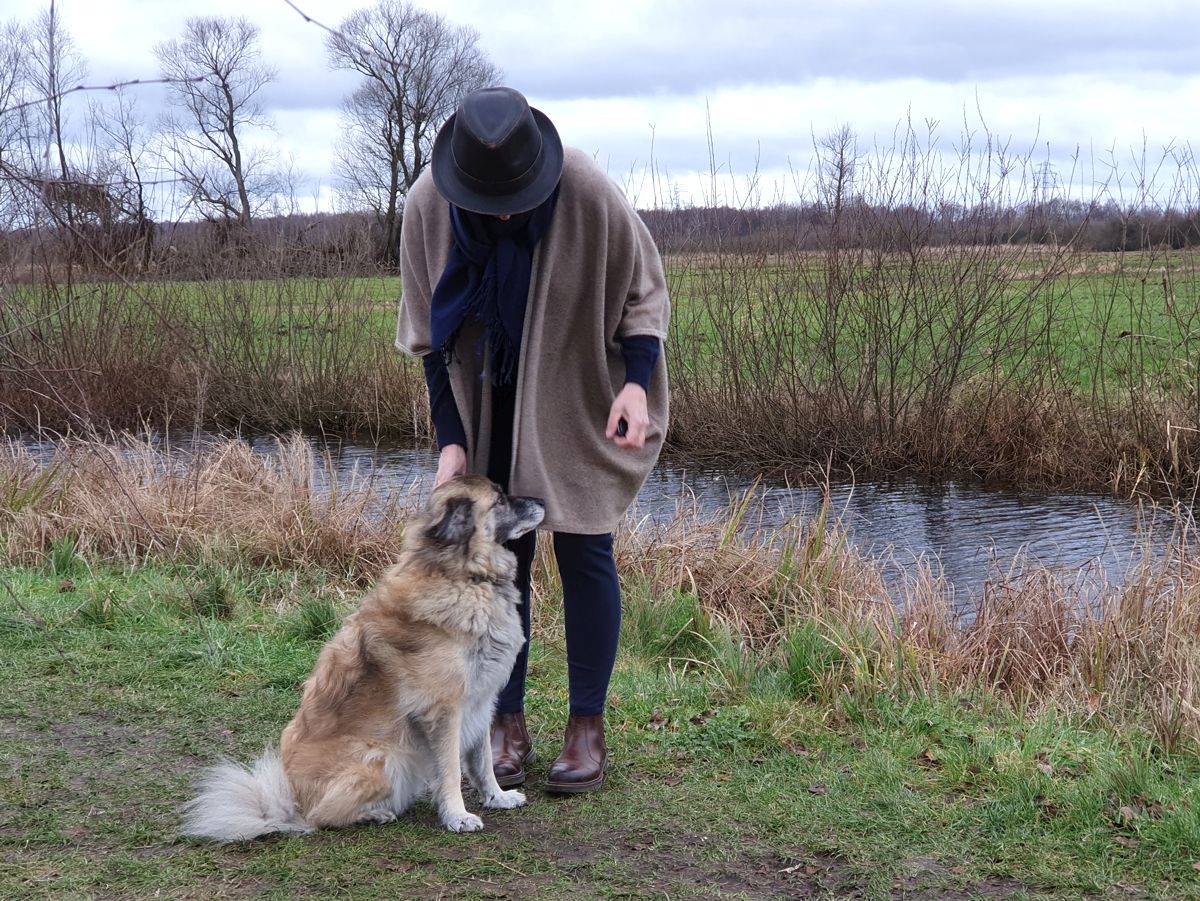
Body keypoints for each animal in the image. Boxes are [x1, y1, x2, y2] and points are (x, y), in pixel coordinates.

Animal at [180, 475, 547, 844]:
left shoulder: (482, 699)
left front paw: (496, 796)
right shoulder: (444, 710)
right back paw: (374, 814)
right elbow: (451, 770)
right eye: (499, 501)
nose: (543, 502)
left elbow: (482, 759)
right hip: (383, 759)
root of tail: (290, 804)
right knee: (321, 817)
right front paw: (458, 816)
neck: (463, 577)